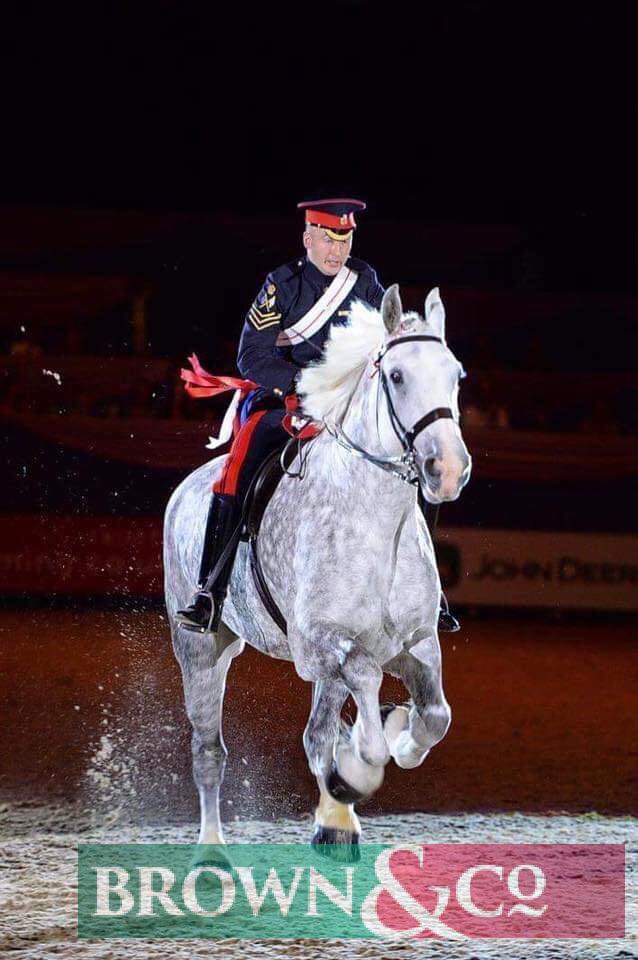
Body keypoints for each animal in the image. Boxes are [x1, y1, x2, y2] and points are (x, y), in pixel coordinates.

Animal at [164, 282, 476, 860]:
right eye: (396, 376)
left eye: (456, 375)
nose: (446, 469)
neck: (378, 526)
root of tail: (188, 488)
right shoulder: (320, 645)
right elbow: (366, 695)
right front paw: (362, 762)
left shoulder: (417, 642)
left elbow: (434, 717)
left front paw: (398, 734)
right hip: (201, 649)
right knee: (210, 752)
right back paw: (213, 852)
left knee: (317, 733)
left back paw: (336, 821)